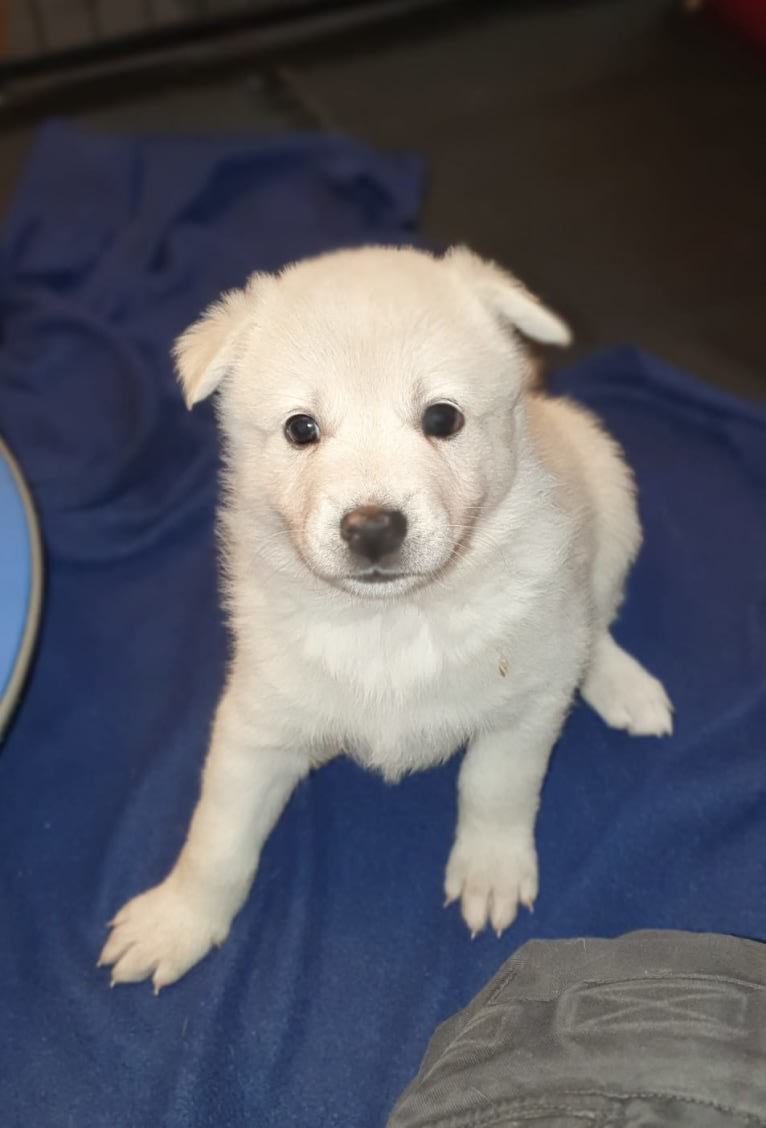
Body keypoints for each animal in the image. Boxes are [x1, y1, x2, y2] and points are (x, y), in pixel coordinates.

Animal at [100, 244, 672, 988]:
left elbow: (495, 787)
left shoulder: (525, 707)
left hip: (611, 499)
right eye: (301, 428)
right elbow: (218, 837)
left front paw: (490, 871)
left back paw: (624, 685)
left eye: (442, 418)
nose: (372, 527)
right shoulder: (258, 722)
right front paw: (176, 921)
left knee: (594, 621)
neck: (394, 621)